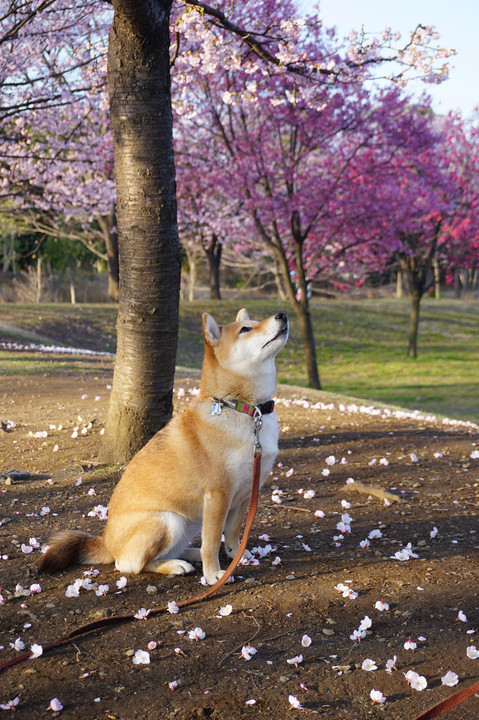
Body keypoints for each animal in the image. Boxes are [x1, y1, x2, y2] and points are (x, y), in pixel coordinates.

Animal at [40, 308, 288, 584]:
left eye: (255, 323)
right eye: (245, 329)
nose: (282, 315)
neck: (244, 409)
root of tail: (106, 541)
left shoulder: (244, 493)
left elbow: (233, 533)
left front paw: (237, 555)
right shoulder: (218, 494)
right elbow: (213, 541)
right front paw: (214, 573)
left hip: (190, 521)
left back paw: (189, 554)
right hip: (169, 520)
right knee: (131, 564)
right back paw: (175, 564)